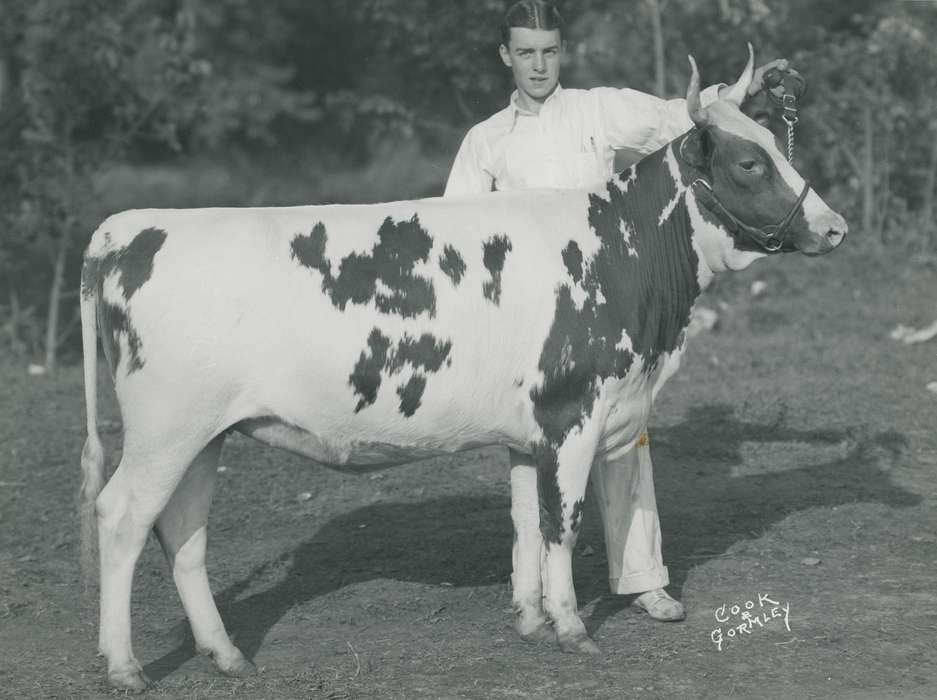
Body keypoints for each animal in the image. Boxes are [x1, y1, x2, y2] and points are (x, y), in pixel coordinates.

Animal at [78, 47, 846, 691]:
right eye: (748, 165)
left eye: (775, 145)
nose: (833, 227)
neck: (620, 254)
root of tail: (126, 228)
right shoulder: (572, 413)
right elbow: (562, 522)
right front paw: (572, 628)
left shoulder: (535, 430)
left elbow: (527, 520)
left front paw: (532, 618)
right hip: (165, 430)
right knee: (121, 517)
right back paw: (124, 666)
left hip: (203, 435)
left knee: (183, 533)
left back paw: (227, 653)